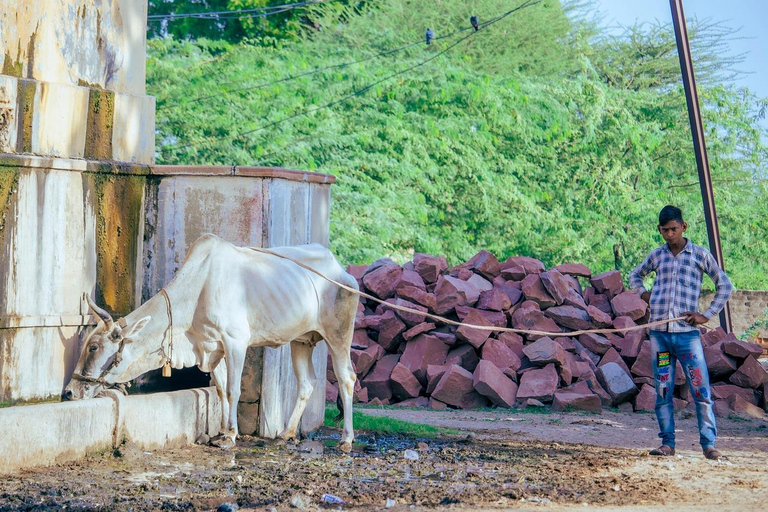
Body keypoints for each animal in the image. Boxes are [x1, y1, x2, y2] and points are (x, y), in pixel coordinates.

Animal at [64, 234, 359, 450]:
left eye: (94, 347)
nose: (69, 391)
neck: (199, 289)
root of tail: (341, 271)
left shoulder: (235, 342)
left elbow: (233, 389)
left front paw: (230, 436)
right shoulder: (211, 348)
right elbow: (219, 388)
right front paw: (221, 432)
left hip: (339, 334)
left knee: (346, 378)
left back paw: (346, 440)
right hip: (302, 341)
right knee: (307, 382)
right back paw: (286, 433)